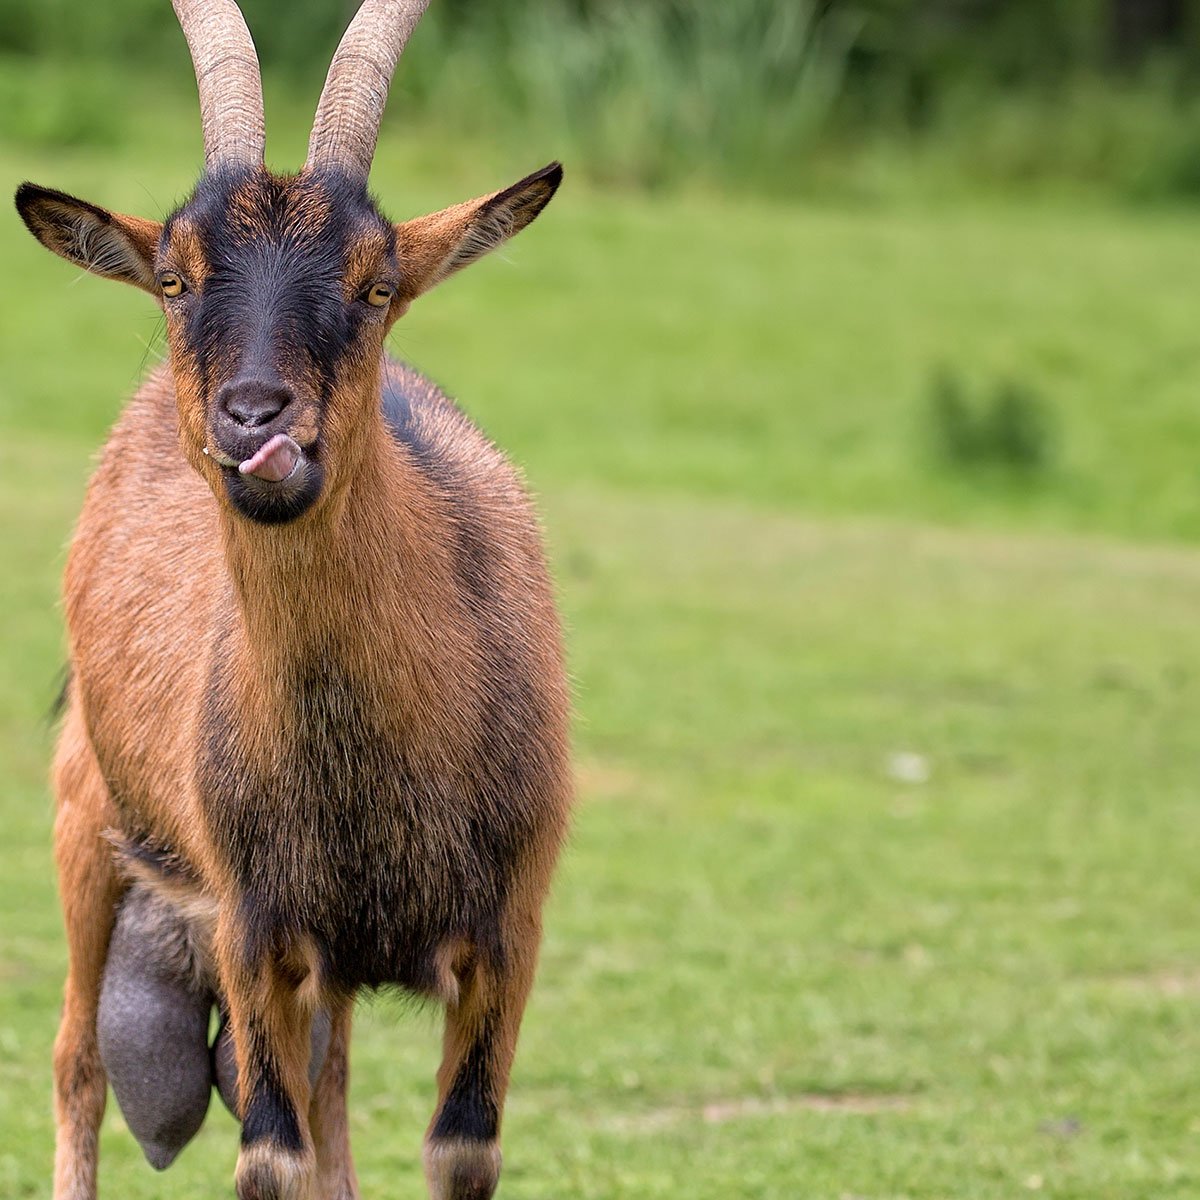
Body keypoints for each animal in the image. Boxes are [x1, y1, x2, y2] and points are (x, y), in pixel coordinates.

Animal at [9, 4, 571, 1195]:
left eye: (376, 283)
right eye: (175, 280)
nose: (254, 417)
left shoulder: (511, 928)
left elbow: (457, 1145)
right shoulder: (254, 925)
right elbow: (271, 1150)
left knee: (334, 1087)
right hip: (87, 822)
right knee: (79, 1059)